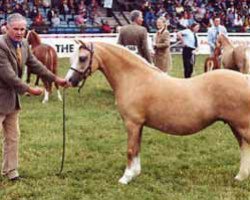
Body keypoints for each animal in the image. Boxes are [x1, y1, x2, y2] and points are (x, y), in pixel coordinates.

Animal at [66, 40, 250, 184]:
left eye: (82, 58)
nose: (70, 81)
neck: (135, 78)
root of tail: (244, 78)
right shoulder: (139, 125)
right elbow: (137, 149)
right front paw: (135, 173)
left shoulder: (132, 123)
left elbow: (130, 150)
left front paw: (126, 177)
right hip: (234, 125)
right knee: (243, 146)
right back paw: (240, 176)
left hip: (242, 126)